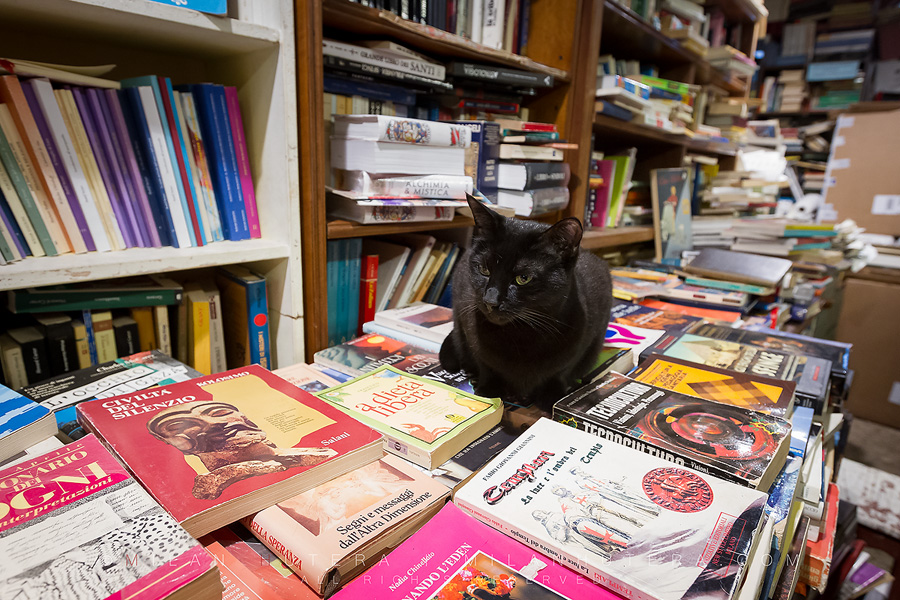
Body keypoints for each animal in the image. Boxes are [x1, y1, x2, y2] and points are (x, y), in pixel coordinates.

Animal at [442, 197, 616, 408]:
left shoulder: (581, 343)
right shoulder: (469, 327)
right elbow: (487, 366)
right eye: (484, 269)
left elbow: (561, 372)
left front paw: (553, 397)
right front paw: (487, 391)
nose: (490, 300)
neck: (521, 335)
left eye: (523, 278)